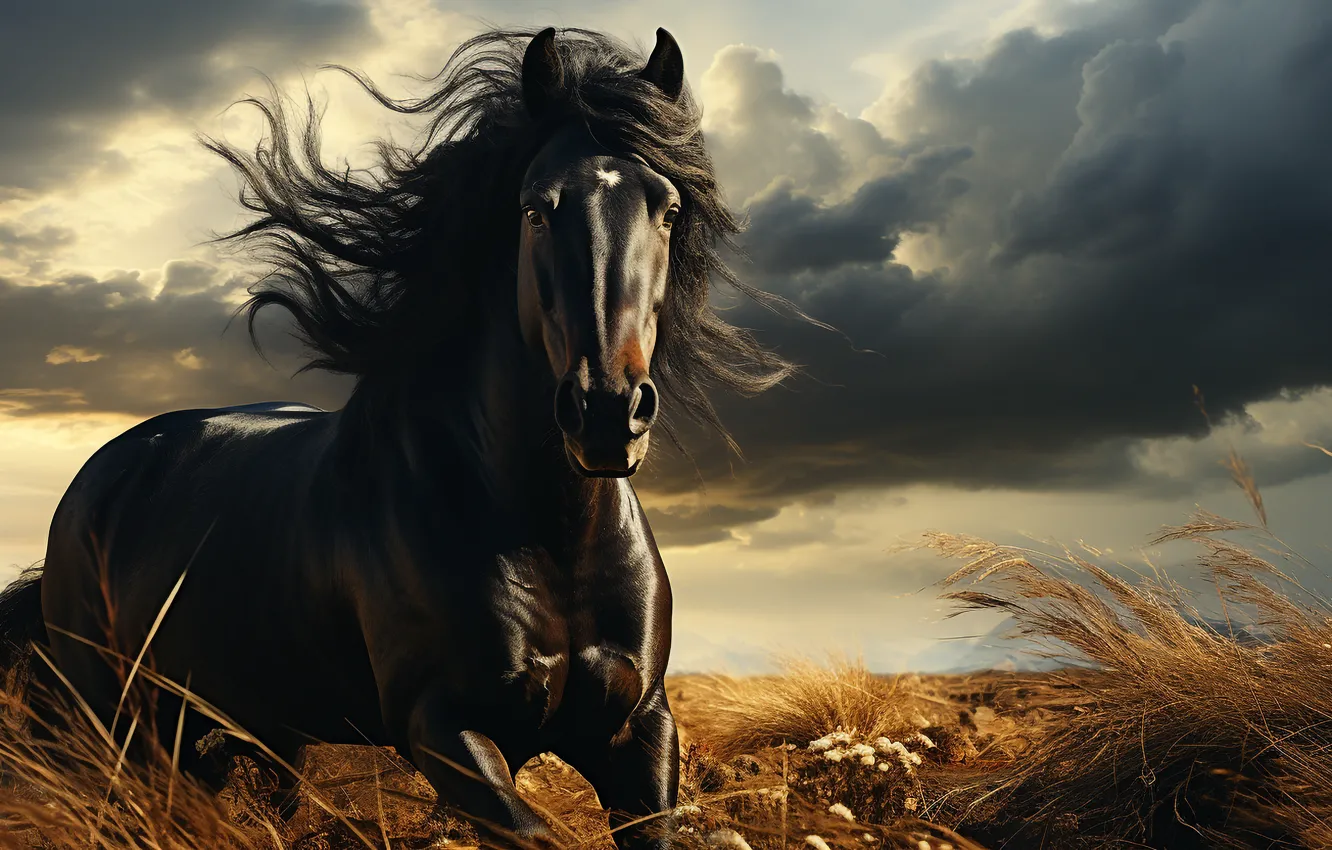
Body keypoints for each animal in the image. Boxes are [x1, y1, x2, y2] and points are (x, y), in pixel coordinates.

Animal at [0, 26, 796, 849]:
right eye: (537, 210)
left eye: (666, 209)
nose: (607, 411)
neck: (548, 534)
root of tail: (98, 478)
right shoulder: (443, 727)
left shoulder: (637, 730)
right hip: (112, 722)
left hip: (217, 731)